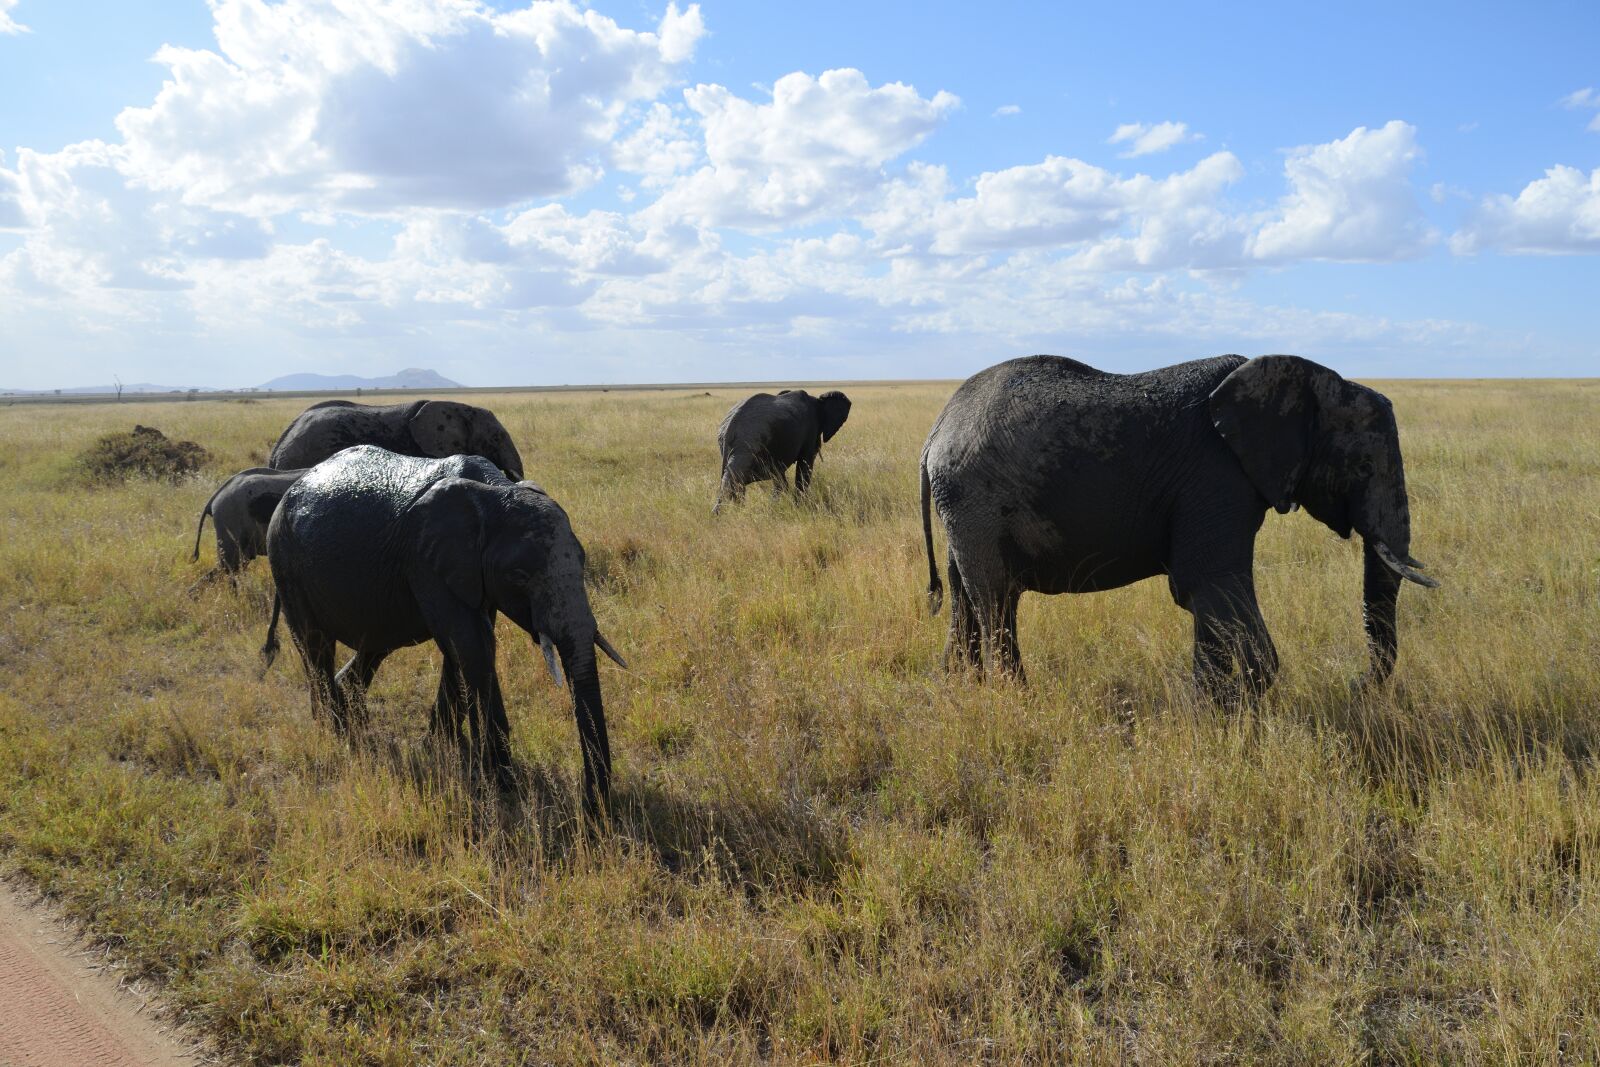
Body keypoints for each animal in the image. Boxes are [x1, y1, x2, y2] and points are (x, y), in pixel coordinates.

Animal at [262, 446, 626, 816]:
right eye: (520, 576)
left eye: (582, 561)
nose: (591, 809)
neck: (495, 492)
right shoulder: (425, 559)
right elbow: (471, 645)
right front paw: (502, 782)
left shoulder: (467, 572)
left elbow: (463, 646)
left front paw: (442, 746)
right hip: (286, 562)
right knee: (316, 644)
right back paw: (336, 733)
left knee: (374, 643)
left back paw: (351, 719)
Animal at [712, 389, 852, 512]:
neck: (818, 401)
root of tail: (728, 429)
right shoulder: (810, 430)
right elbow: (804, 465)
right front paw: (799, 506)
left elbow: (780, 474)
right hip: (749, 444)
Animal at [919, 354, 1438, 698]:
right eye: (1364, 467)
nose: (1355, 684)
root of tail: (934, 433)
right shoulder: (1215, 475)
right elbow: (1209, 583)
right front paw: (1234, 704)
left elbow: (1206, 594)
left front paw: (1212, 704)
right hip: (976, 500)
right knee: (997, 599)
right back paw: (1017, 699)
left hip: (962, 509)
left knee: (966, 597)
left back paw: (959, 687)